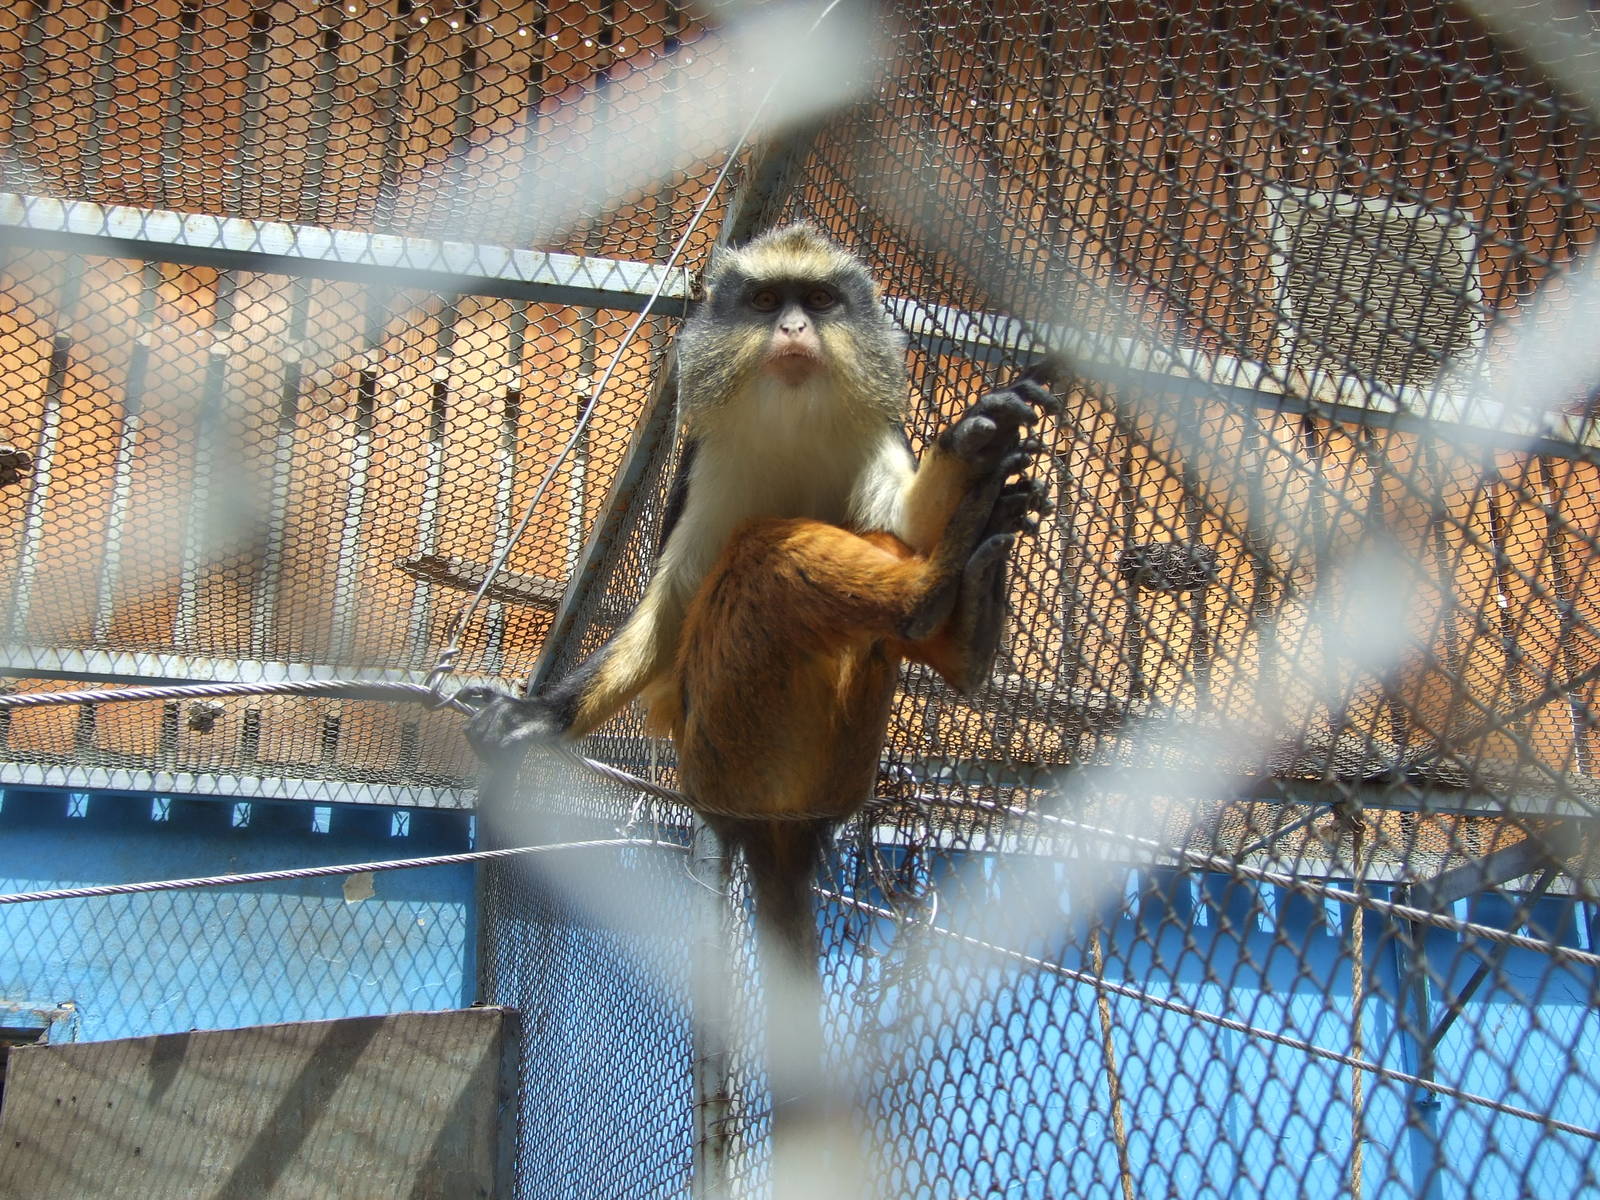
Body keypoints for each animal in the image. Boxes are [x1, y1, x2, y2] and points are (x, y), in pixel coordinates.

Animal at [459, 222, 1057, 1153]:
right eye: (768, 299)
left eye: (819, 301)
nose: (794, 331)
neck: (792, 414)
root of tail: (778, 834)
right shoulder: (706, 460)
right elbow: (673, 603)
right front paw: (539, 717)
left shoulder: (875, 434)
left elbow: (903, 522)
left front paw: (976, 441)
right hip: (721, 746)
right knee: (755, 557)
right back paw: (936, 605)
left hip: (843, 750)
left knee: (873, 563)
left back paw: (962, 626)